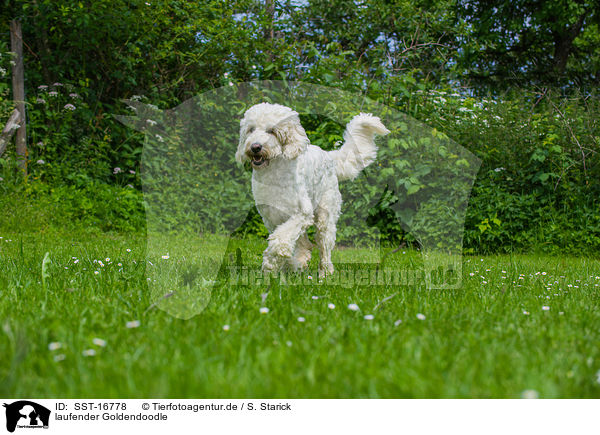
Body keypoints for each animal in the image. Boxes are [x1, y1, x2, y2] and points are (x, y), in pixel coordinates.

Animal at [234, 103, 390, 276]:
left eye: (271, 131)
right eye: (251, 129)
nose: (255, 147)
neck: (273, 173)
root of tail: (329, 156)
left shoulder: (302, 213)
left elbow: (280, 240)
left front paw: (270, 263)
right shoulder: (271, 218)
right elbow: (283, 240)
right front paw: (280, 265)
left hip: (325, 217)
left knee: (324, 247)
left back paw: (325, 273)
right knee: (304, 243)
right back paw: (299, 263)